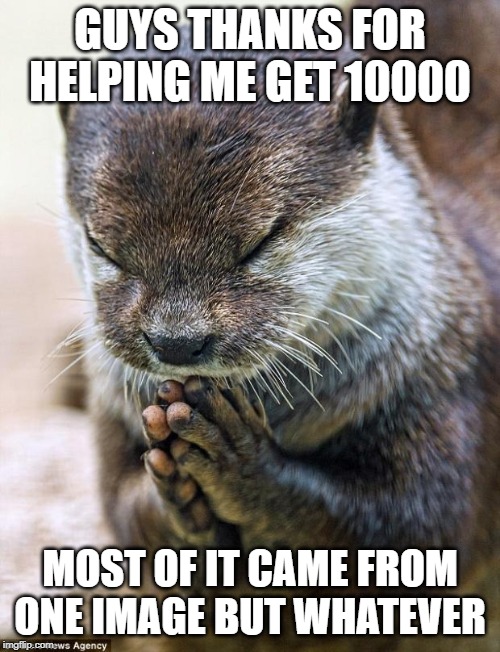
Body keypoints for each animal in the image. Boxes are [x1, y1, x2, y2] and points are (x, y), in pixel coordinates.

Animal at [59, 0, 500, 649]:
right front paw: (174, 499)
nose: (177, 341)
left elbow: (414, 526)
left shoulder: (449, 375)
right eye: (103, 246)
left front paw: (240, 462)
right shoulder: (112, 411)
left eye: (260, 241)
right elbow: (122, 509)